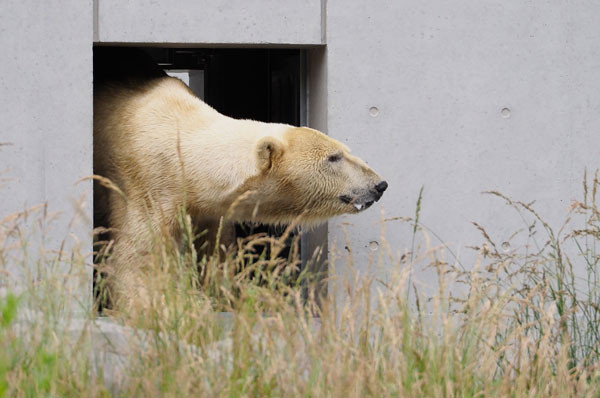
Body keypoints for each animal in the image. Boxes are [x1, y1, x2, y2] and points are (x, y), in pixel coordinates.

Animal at [91, 49, 386, 312]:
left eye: (345, 151)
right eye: (334, 157)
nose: (379, 185)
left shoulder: (208, 207)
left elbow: (216, 250)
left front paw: (221, 295)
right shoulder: (147, 184)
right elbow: (138, 255)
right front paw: (155, 306)